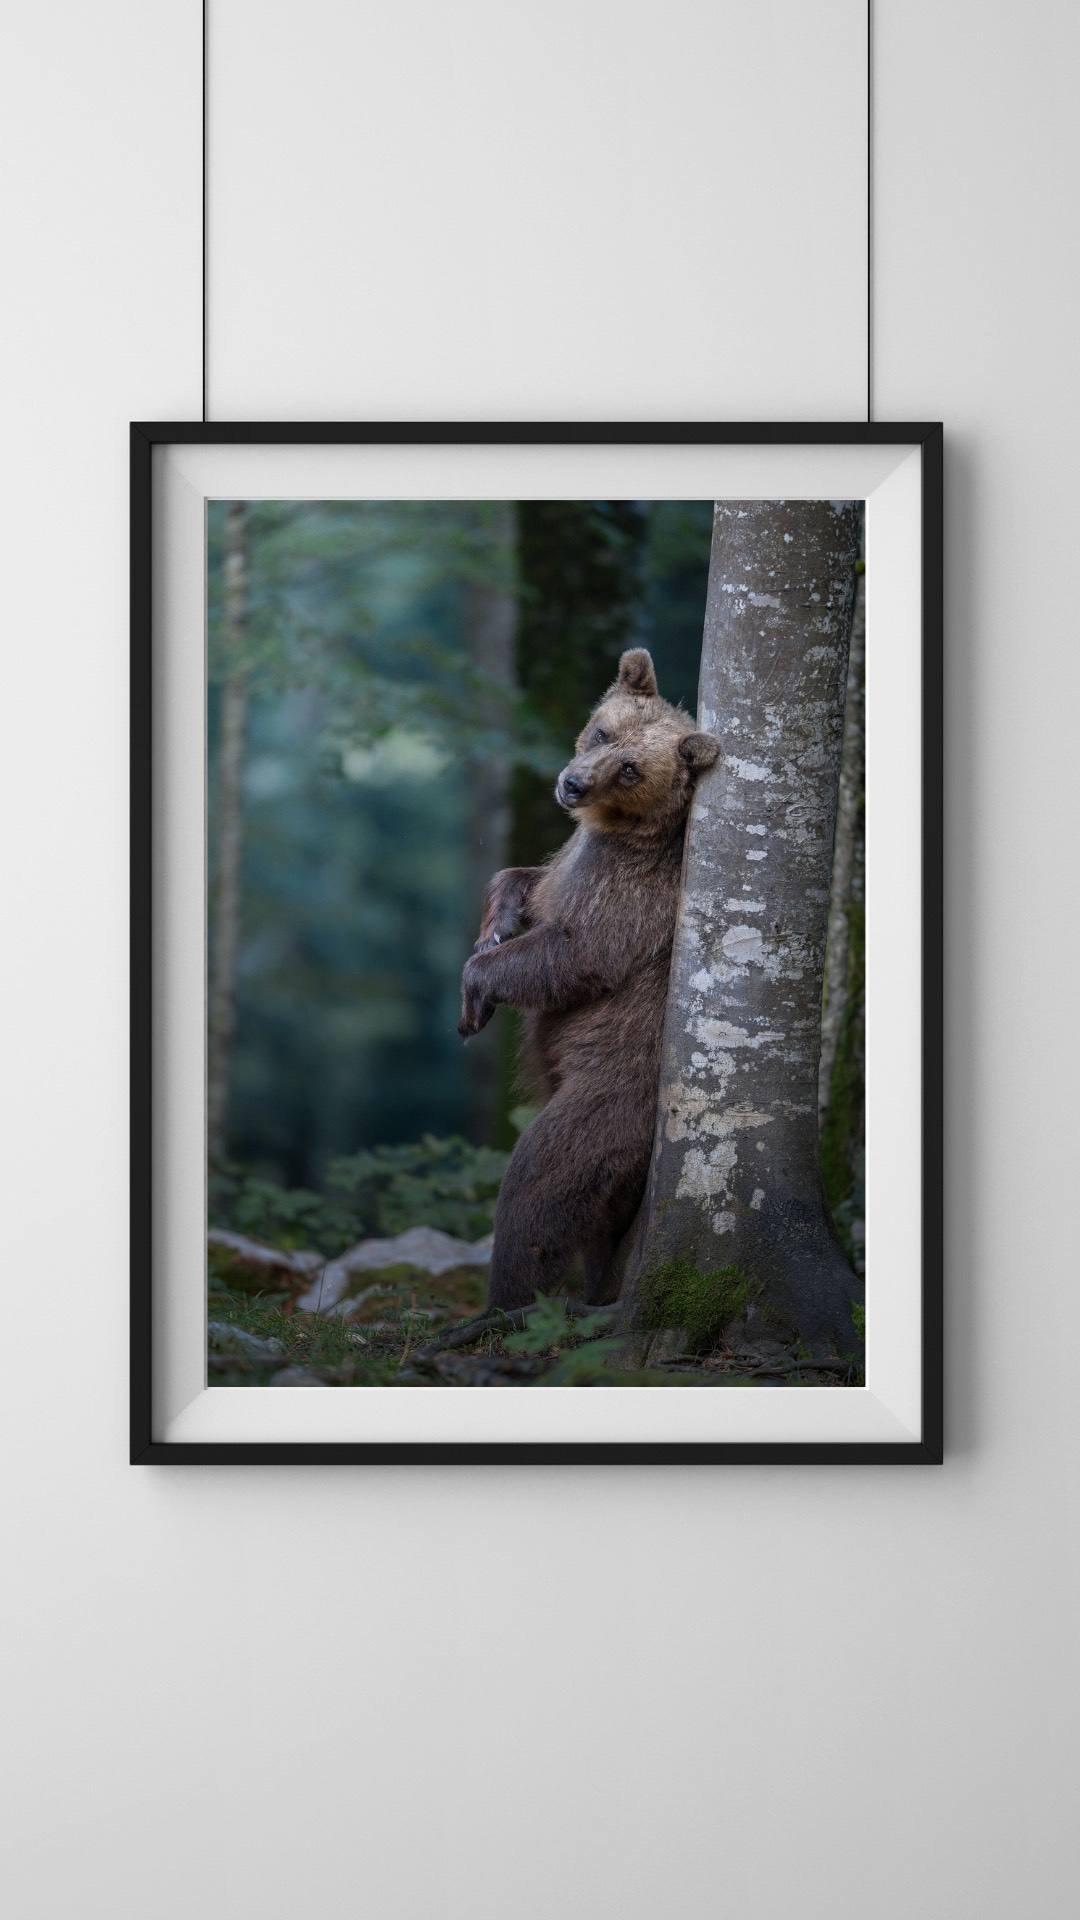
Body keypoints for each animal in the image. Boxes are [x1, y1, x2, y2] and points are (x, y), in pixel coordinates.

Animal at [458, 647, 720, 1311]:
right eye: (603, 730)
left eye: (630, 769)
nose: (572, 783)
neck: (616, 830)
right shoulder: (572, 860)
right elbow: (524, 880)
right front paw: (494, 928)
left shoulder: (632, 893)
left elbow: (577, 953)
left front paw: (475, 991)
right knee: (601, 1225)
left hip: (611, 1095)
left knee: (542, 1180)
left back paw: (502, 1305)